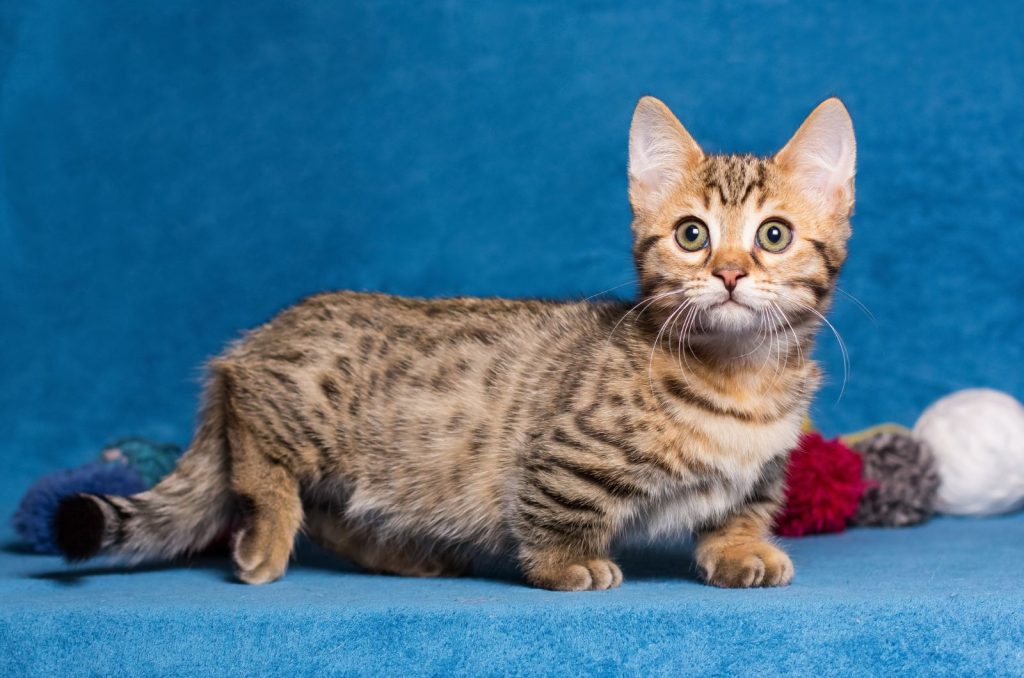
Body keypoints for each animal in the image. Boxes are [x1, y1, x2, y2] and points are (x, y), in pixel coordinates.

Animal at [56, 95, 856, 589]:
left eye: (773, 236)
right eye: (692, 235)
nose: (729, 272)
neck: (742, 378)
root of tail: (253, 340)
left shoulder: (759, 474)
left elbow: (739, 511)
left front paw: (742, 552)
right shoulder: (561, 456)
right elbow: (556, 512)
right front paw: (568, 564)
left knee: (336, 514)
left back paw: (406, 555)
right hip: (293, 408)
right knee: (262, 454)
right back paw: (266, 535)